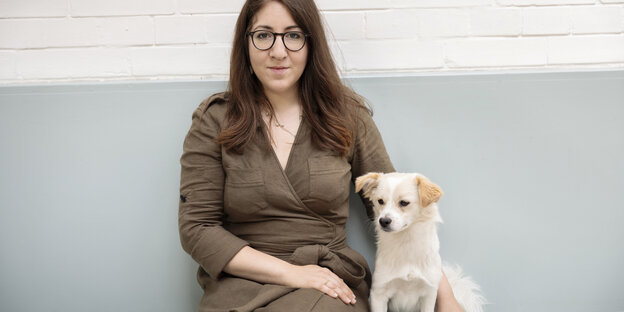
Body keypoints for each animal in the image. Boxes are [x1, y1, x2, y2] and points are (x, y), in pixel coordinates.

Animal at [356, 172, 482, 312]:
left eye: (404, 203)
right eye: (380, 201)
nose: (383, 221)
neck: (406, 241)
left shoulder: (429, 293)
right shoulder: (379, 292)